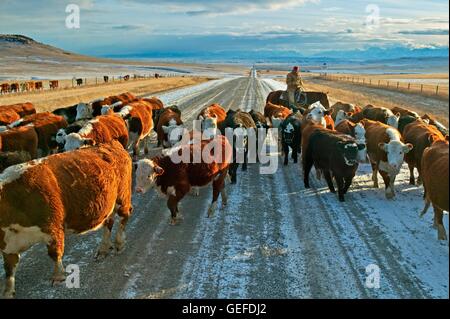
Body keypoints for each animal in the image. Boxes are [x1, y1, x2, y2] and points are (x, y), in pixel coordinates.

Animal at [0, 141, 133, 298]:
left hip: (122, 196)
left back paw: (119, 243)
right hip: (108, 204)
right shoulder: (8, 244)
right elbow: (9, 269)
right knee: (109, 222)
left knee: (125, 214)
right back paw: (103, 249)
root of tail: (112, 143)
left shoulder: (53, 228)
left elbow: (55, 253)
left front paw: (58, 277)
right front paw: (8, 291)